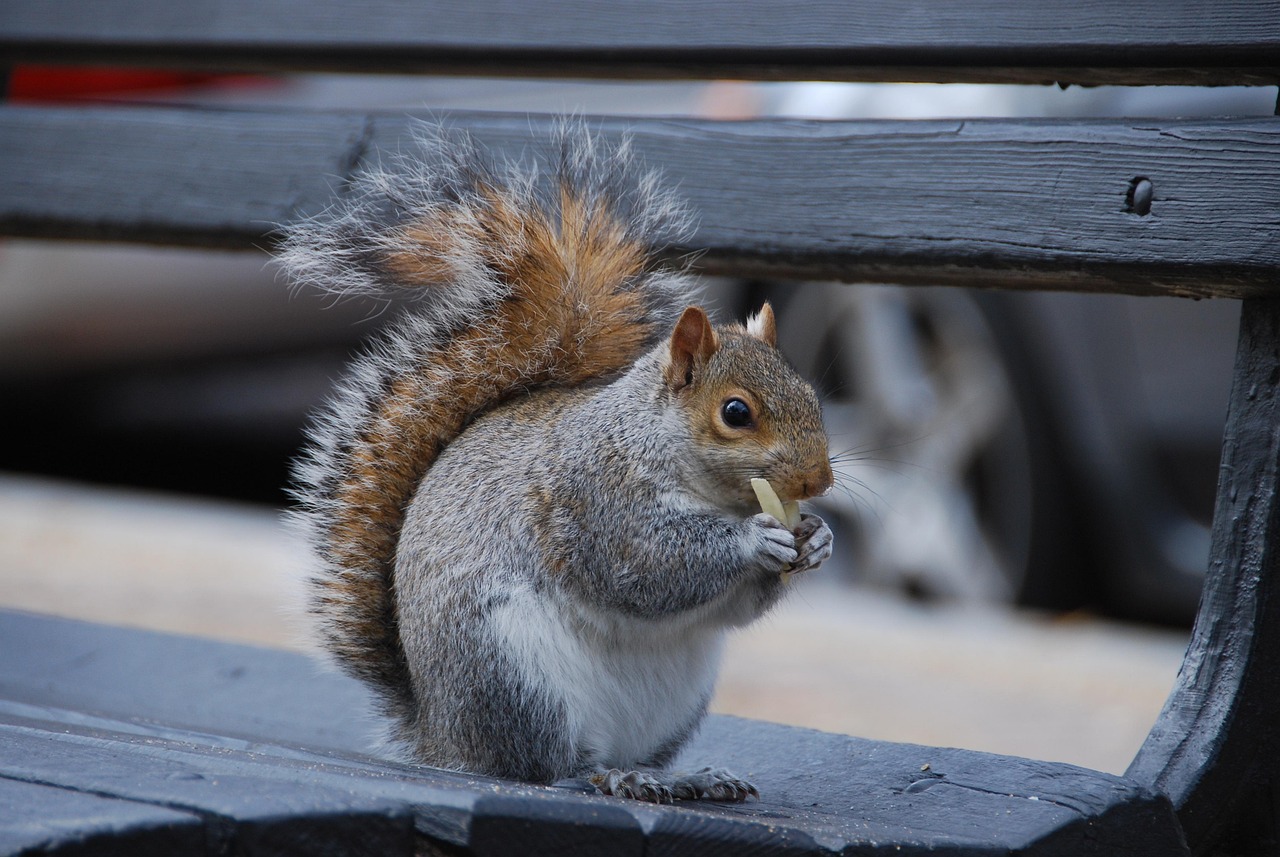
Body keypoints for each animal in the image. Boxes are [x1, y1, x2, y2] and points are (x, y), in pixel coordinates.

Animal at [278, 122, 835, 803]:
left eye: (812, 396)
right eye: (736, 412)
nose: (819, 480)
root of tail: (442, 737)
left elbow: (733, 607)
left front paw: (817, 538)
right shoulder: (596, 497)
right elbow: (647, 568)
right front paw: (756, 539)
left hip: (676, 700)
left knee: (633, 755)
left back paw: (687, 777)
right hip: (514, 674)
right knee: (545, 766)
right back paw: (605, 775)